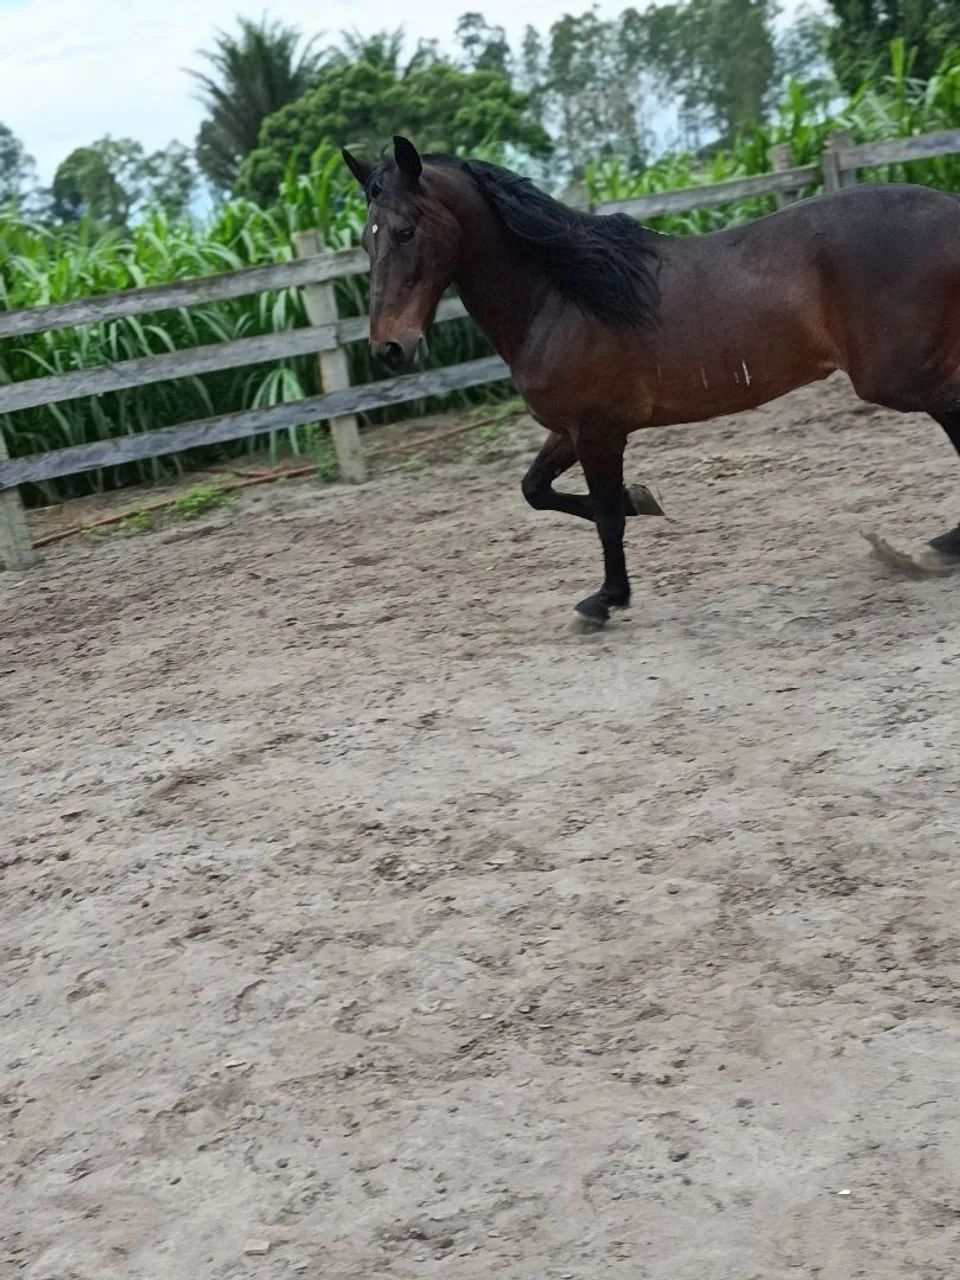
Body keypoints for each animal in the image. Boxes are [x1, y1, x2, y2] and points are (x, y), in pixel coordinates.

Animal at [342, 135, 960, 625]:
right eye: (366, 241)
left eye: (404, 231)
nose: (390, 348)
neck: (561, 297)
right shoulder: (571, 428)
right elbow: (537, 491)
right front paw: (644, 501)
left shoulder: (598, 431)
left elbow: (606, 516)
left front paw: (606, 599)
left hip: (896, 377)